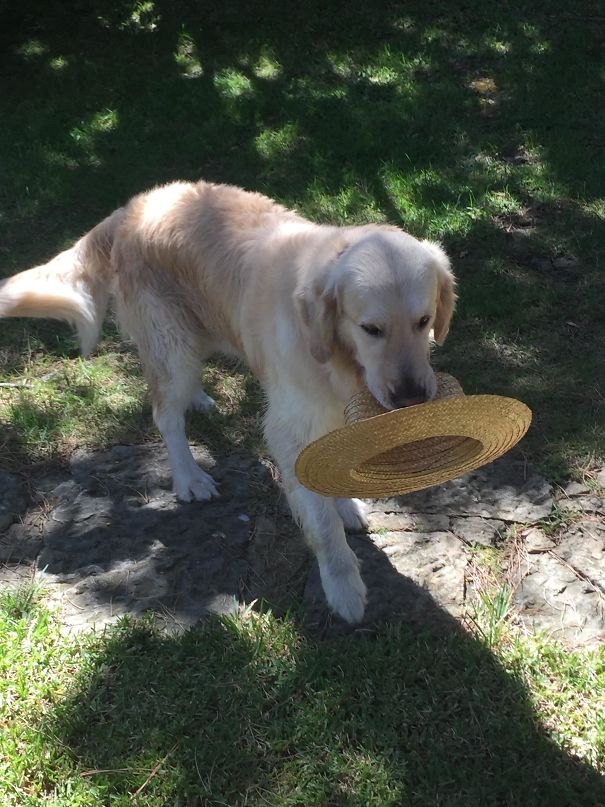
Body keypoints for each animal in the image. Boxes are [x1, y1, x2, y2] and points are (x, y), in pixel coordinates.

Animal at [0, 181, 456, 624]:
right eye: (371, 329)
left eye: (424, 321)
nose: (412, 397)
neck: (340, 357)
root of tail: (132, 207)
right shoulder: (291, 423)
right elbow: (322, 524)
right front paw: (343, 589)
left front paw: (345, 507)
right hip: (172, 345)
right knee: (166, 416)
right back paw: (190, 478)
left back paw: (200, 400)